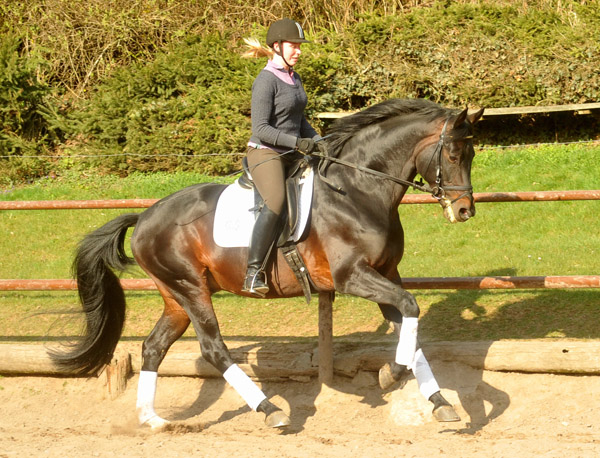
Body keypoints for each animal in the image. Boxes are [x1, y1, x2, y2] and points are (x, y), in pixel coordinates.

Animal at [50, 99, 482, 430]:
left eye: (472, 154)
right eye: (453, 154)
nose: (464, 211)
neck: (359, 191)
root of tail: (143, 217)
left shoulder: (386, 274)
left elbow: (411, 326)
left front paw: (439, 401)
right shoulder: (352, 277)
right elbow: (411, 308)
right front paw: (391, 374)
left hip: (176, 296)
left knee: (153, 347)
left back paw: (151, 419)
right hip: (191, 289)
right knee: (214, 350)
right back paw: (270, 410)